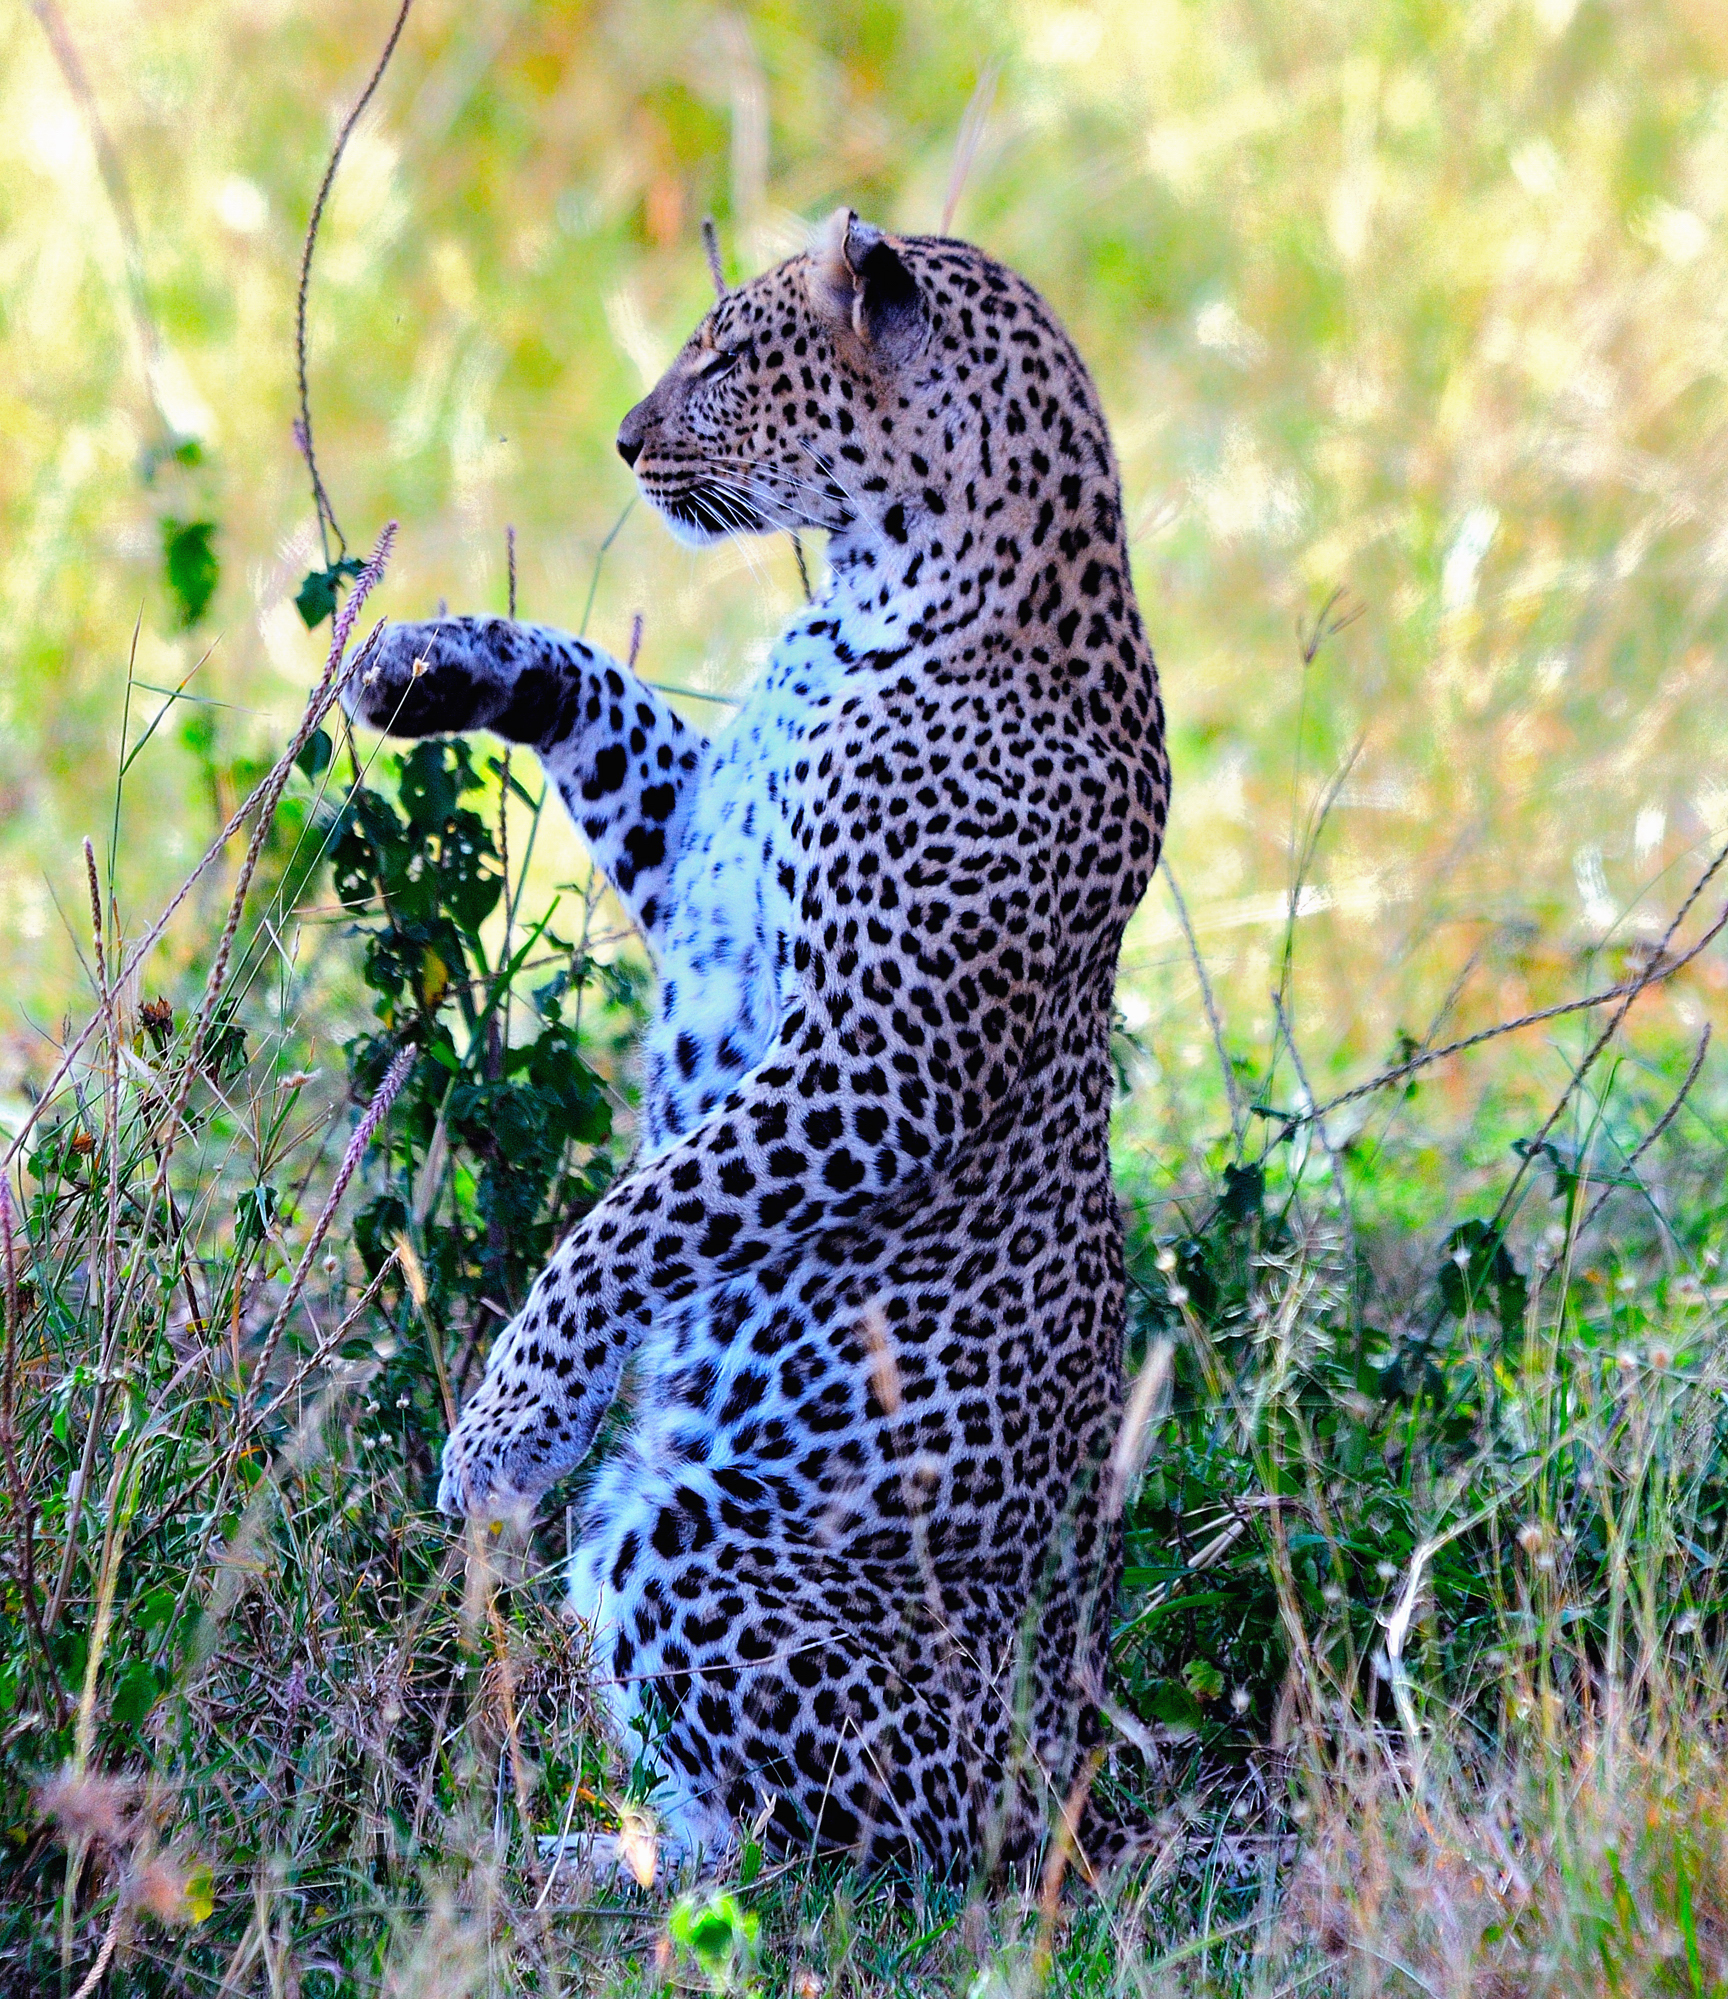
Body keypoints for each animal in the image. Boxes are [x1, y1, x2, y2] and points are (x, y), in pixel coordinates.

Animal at [347, 207, 1170, 1881]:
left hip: (696, 1541)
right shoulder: (702, 856)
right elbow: (593, 683)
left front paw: (508, 1427)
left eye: (725, 359)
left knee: (830, 1850)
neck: (872, 595)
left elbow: (630, 1220)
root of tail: (1066, 1781)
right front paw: (435, 661)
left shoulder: (875, 1062)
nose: (623, 438)